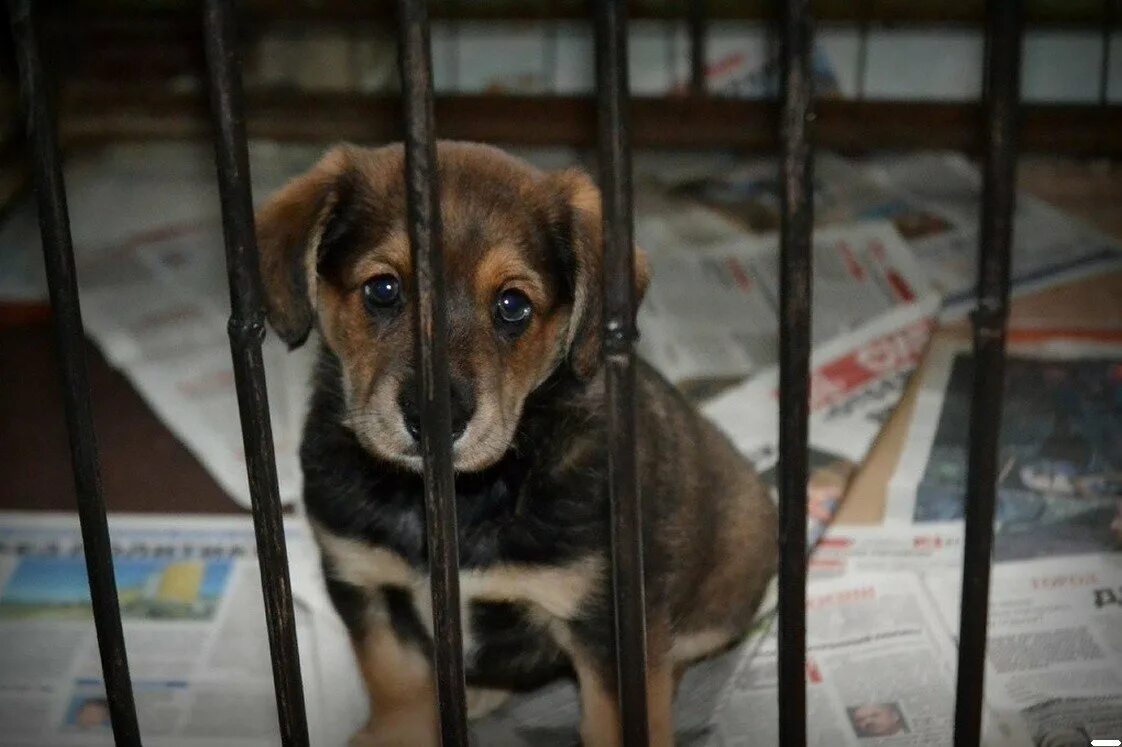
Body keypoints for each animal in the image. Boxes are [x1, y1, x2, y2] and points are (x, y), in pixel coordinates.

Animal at [256, 141, 776, 744]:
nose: (435, 419)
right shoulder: (368, 588)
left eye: (512, 305)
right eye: (383, 290)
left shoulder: (607, 623)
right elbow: (399, 691)